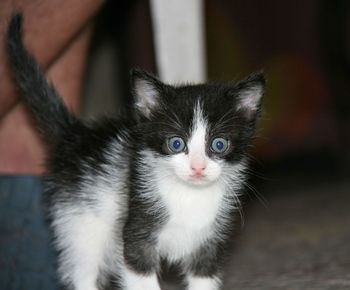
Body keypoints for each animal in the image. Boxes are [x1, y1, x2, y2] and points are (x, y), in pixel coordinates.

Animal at [6, 14, 266, 290]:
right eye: (176, 144)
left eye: (219, 144)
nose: (198, 167)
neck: (189, 196)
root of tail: (76, 134)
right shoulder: (136, 232)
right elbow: (140, 274)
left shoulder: (208, 243)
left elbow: (203, 278)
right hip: (80, 220)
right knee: (83, 269)